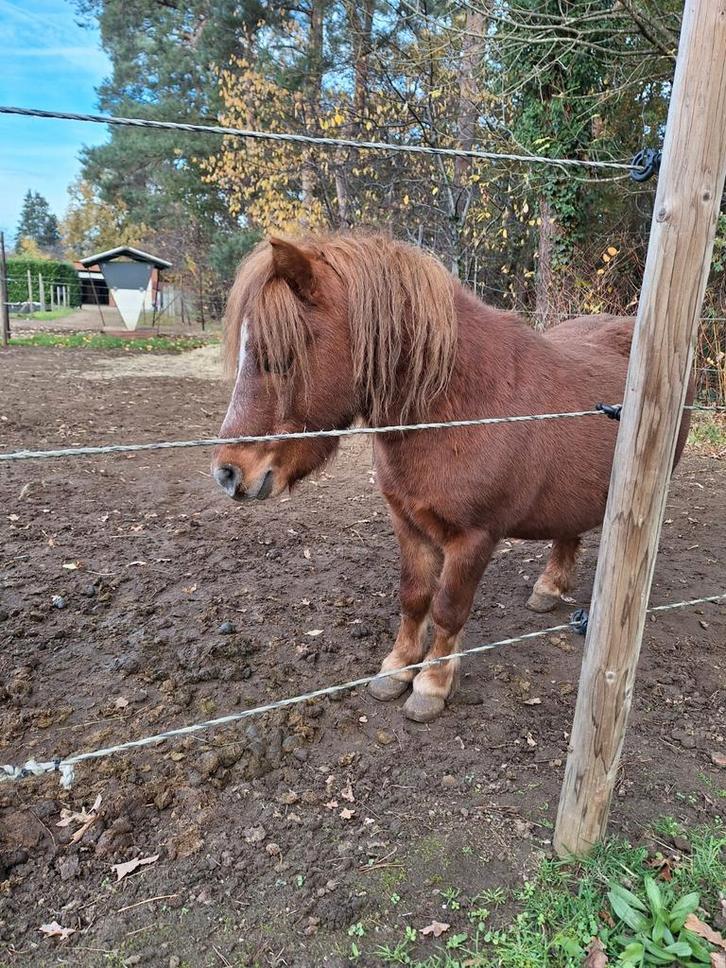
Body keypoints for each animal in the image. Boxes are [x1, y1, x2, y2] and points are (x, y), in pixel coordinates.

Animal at [211, 232, 691, 723]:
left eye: (279, 356)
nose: (228, 473)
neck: (459, 409)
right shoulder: (407, 523)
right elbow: (414, 596)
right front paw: (396, 669)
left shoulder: (473, 537)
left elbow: (448, 608)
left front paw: (432, 684)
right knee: (567, 532)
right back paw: (548, 588)